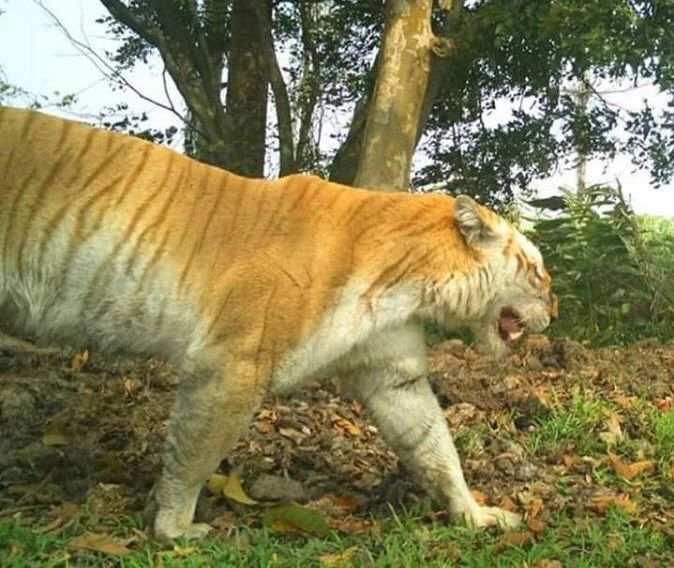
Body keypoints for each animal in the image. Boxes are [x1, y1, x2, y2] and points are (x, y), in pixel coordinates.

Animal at [0, 107, 556, 540]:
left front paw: (475, 514)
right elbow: (196, 452)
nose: (555, 312)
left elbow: (434, 444)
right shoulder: (233, 364)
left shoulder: (392, 373)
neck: (410, 281)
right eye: (537, 272)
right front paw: (175, 527)